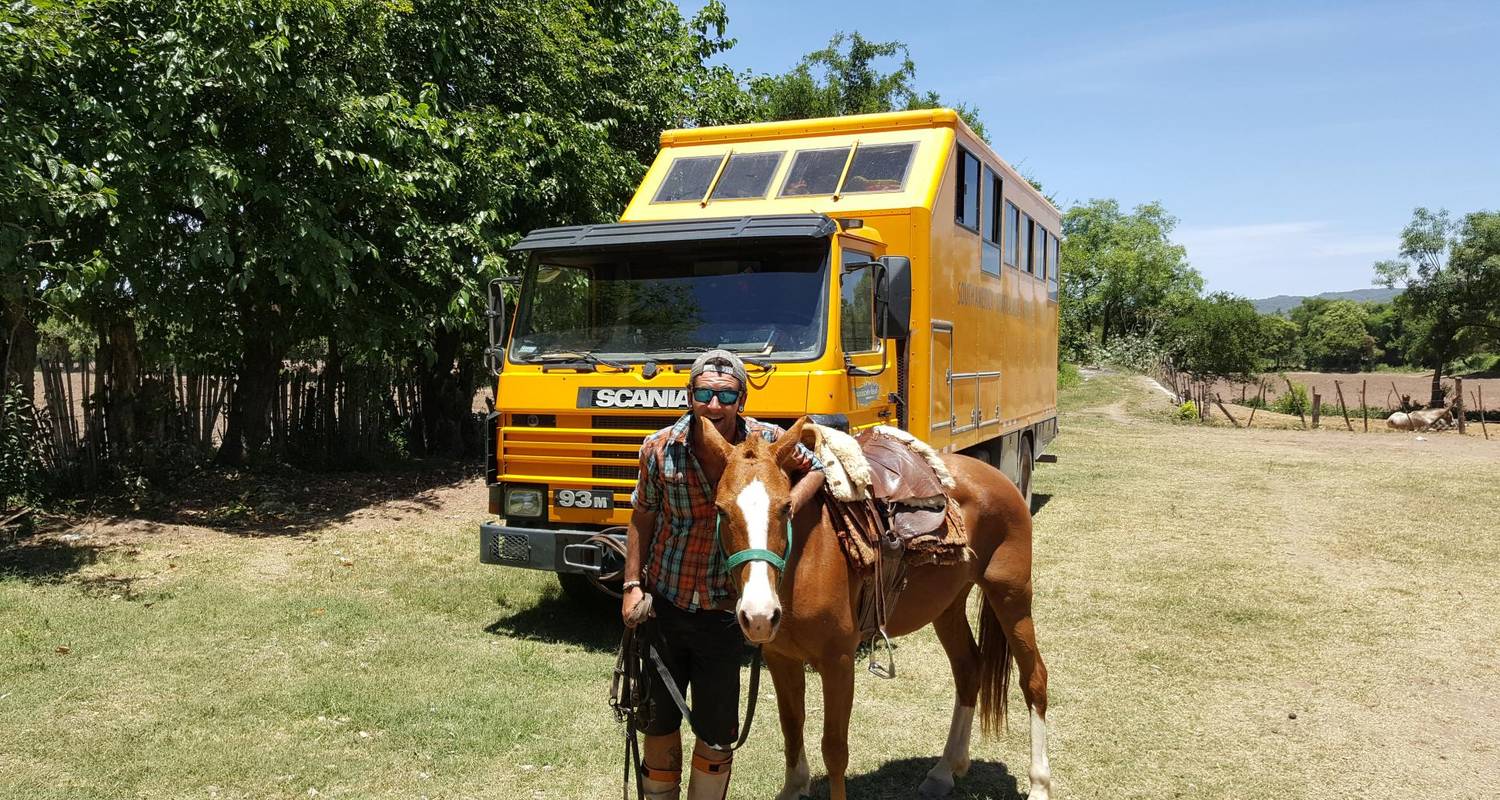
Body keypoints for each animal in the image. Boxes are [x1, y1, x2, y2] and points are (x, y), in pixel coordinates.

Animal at [690, 414, 1056, 798]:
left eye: (786, 506)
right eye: (720, 509)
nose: (759, 615)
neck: (804, 558)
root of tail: (996, 476)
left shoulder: (838, 661)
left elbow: (834, 749)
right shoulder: (781, 658)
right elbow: (791, 727)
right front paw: (795, 785)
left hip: (1012, 596)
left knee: (1034, 679)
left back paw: (1039, 784)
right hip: (948, 607)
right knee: (969, 669)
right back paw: (944, 771)